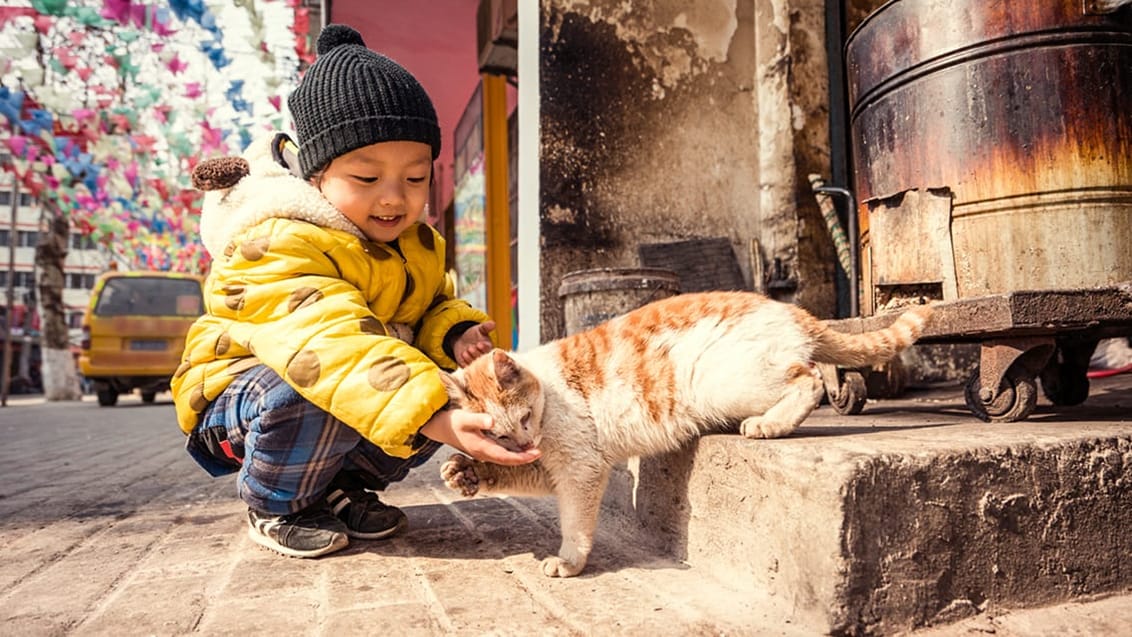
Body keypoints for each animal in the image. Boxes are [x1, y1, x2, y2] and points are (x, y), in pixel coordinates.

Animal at [436, 291, 932, 579]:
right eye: (501, 436)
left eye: (523, 419)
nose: (523, 444)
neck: (548, 390)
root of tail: (790, 309)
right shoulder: (550, 467)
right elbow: (508, 472)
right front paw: (466, 471)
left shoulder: (581, 467)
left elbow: (574, 523)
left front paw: (569, 561)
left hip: (728, 381)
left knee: (809, 378)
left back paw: (768, 424)